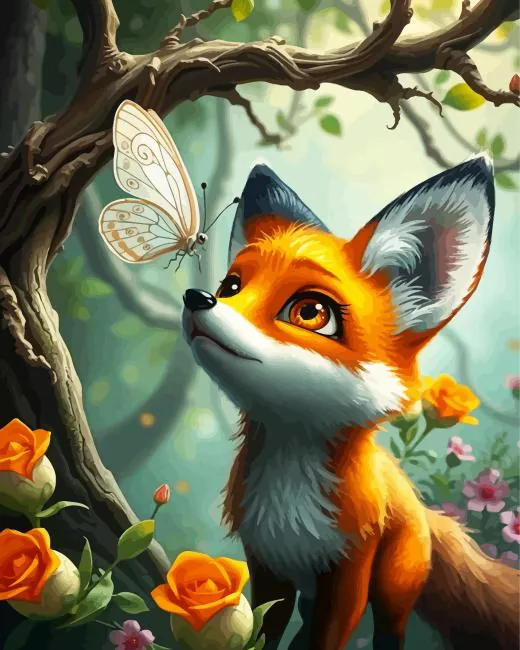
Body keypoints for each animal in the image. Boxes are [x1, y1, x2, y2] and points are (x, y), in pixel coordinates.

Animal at [181, 155, 519, 650]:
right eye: (232, 287)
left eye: (310, 312)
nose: (197, 298)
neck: (290, 494)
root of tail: (421, 506)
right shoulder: (268, 563)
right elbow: (266, 632)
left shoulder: (348, 573)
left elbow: (325, 640)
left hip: (394, 587)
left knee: (390, 631)